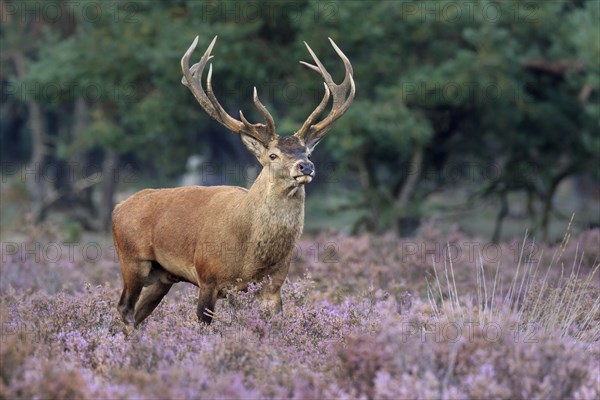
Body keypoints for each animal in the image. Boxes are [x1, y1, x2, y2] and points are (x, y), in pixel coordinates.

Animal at [112, 36, 354, 326]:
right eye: (273, 155)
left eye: (307, 152)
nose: (305, 166)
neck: (250, 255)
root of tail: (118, 208)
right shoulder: (208, 276)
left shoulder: (273, 285)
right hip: (132, 259)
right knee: (124, 308)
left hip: (162, 277)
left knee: (138, 315)